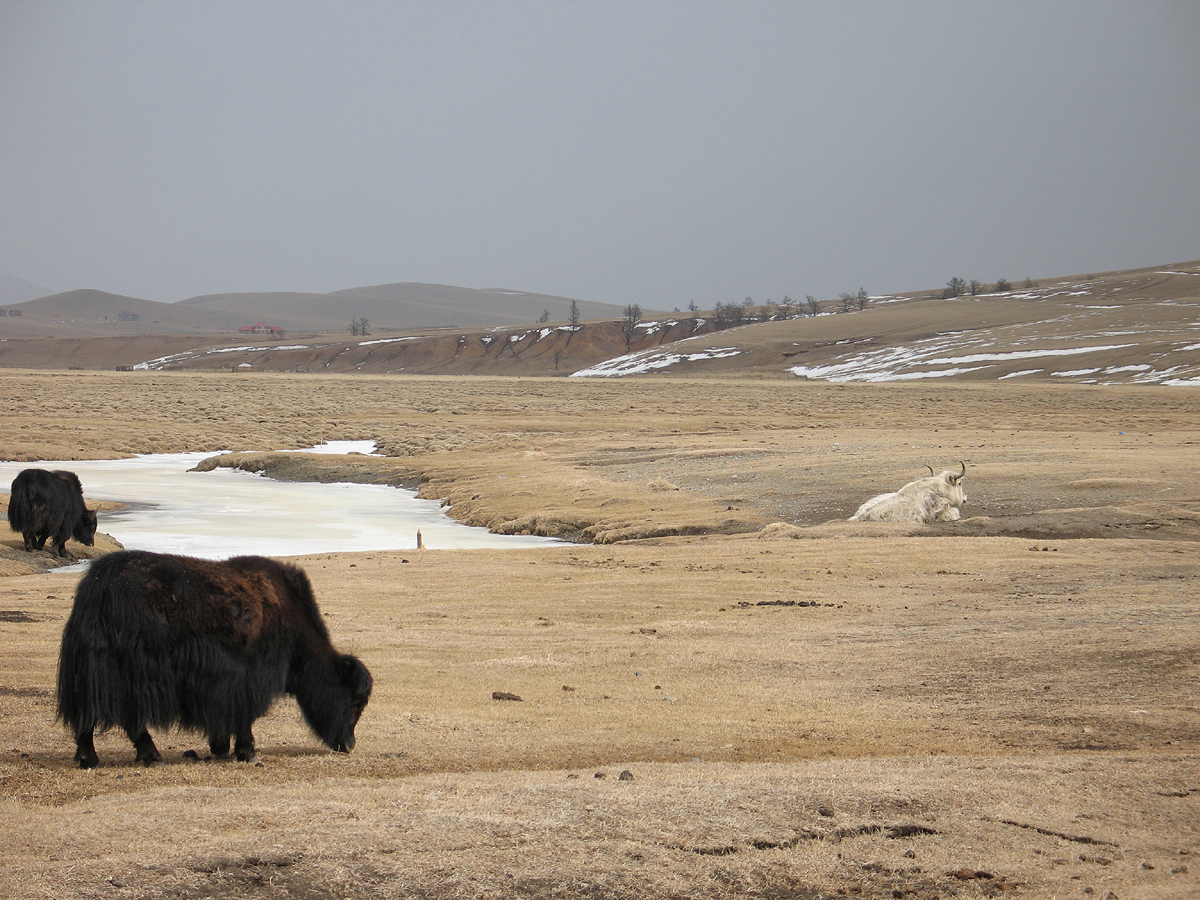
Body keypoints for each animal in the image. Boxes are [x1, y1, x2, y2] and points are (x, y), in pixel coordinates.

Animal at [57, 550, 373, 769]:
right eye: (354, 700)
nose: (349, 744)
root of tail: (97, 584)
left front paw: (220, 747)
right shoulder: (250, 679)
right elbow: (245, 716)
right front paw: (247, 752)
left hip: (90, 673)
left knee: (89, 715)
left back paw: (90, 758)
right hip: (133, 674)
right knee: (128, 718)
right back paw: (150, 756)